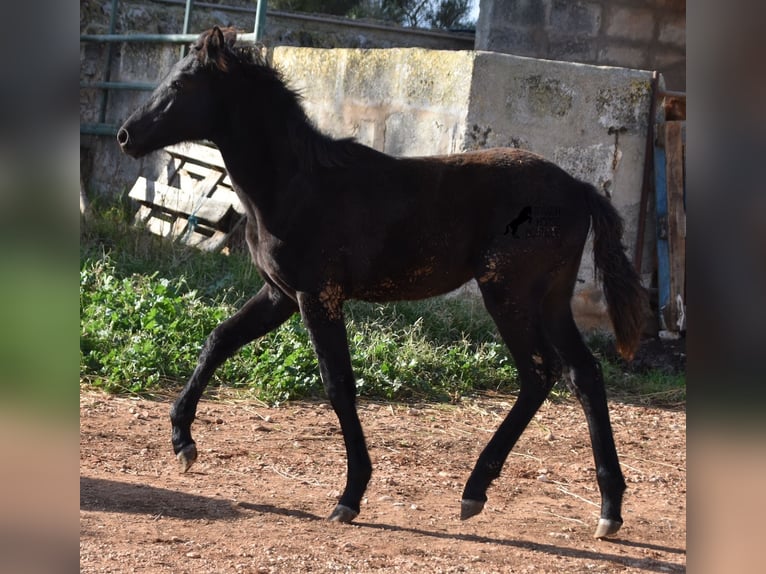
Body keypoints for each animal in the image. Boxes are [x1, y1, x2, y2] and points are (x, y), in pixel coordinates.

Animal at [118, 27, 648, 540]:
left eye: (181, 84)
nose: (125, 136)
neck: (296, 184)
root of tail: (579, 187)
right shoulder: (280, 295)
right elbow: (219, 340)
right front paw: (183, 443)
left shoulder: (317, 296)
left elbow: (338, 385)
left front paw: (350, 496)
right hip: (550, 298)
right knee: (583, 373)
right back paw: (608, 508)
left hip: (508, 293)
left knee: (539, 373)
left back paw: (476, 491)